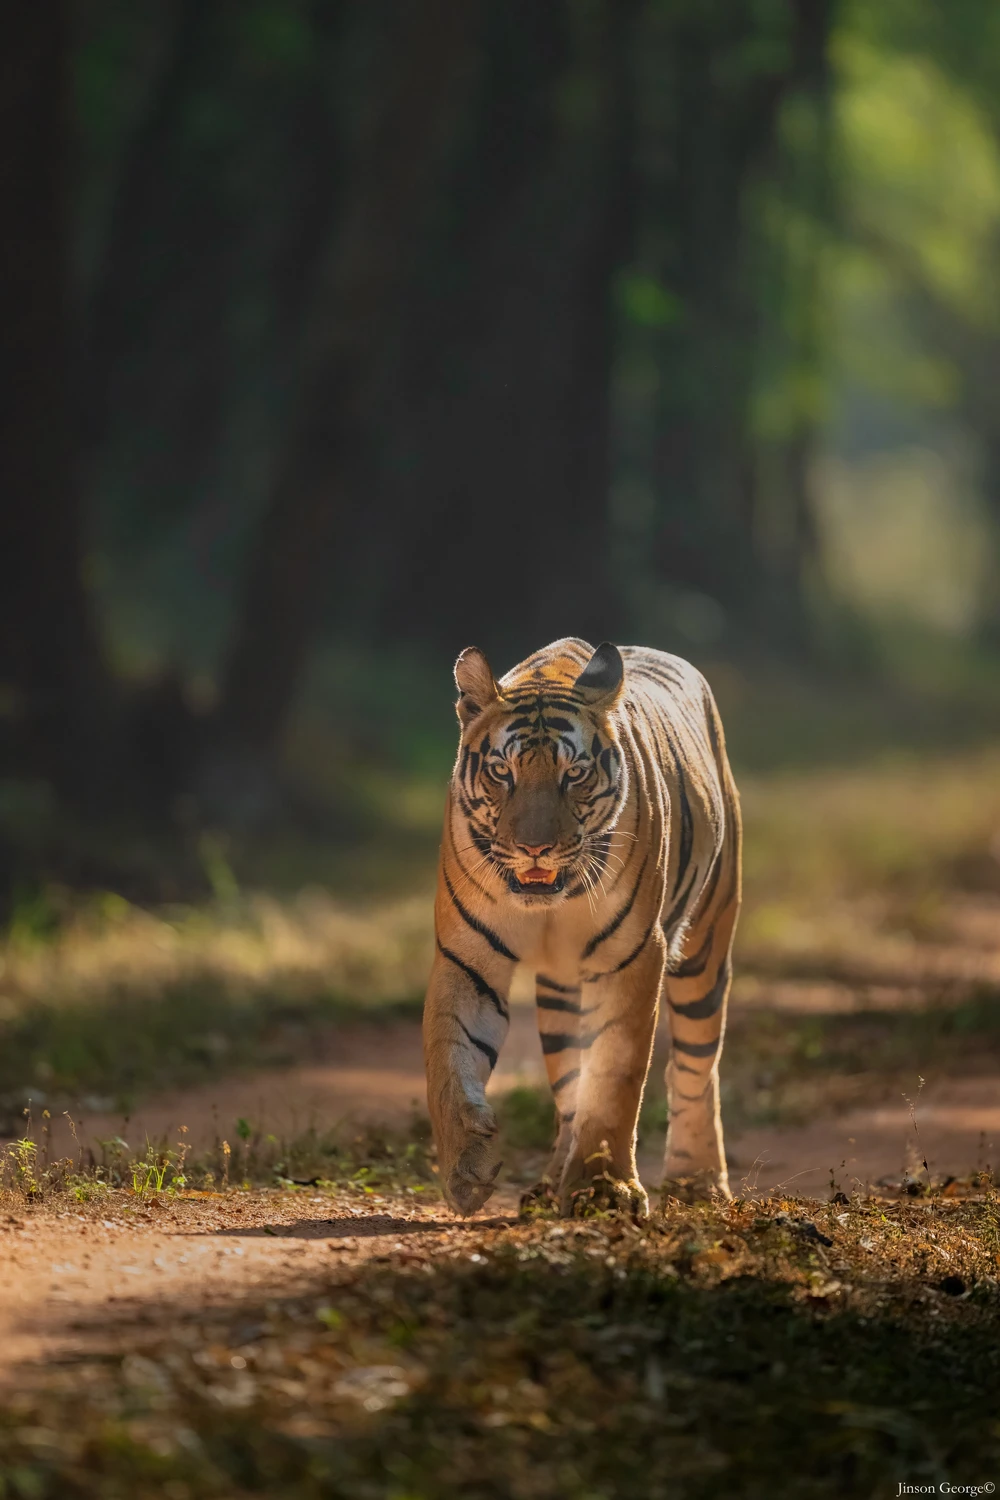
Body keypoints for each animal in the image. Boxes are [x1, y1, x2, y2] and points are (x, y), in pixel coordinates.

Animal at [422, 636, 741, 1218]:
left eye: (574, 774)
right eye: (502, 772)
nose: (535, 848)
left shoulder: (635, 956)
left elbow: (616, 1076)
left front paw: (605, 1189)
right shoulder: (466, 956)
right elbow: (449, 1060)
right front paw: (465, 1169)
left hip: (707, 947)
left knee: (695, 1068)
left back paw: (698, 1182)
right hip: (560, 994)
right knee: (570, 1086)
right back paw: (551, 1185)